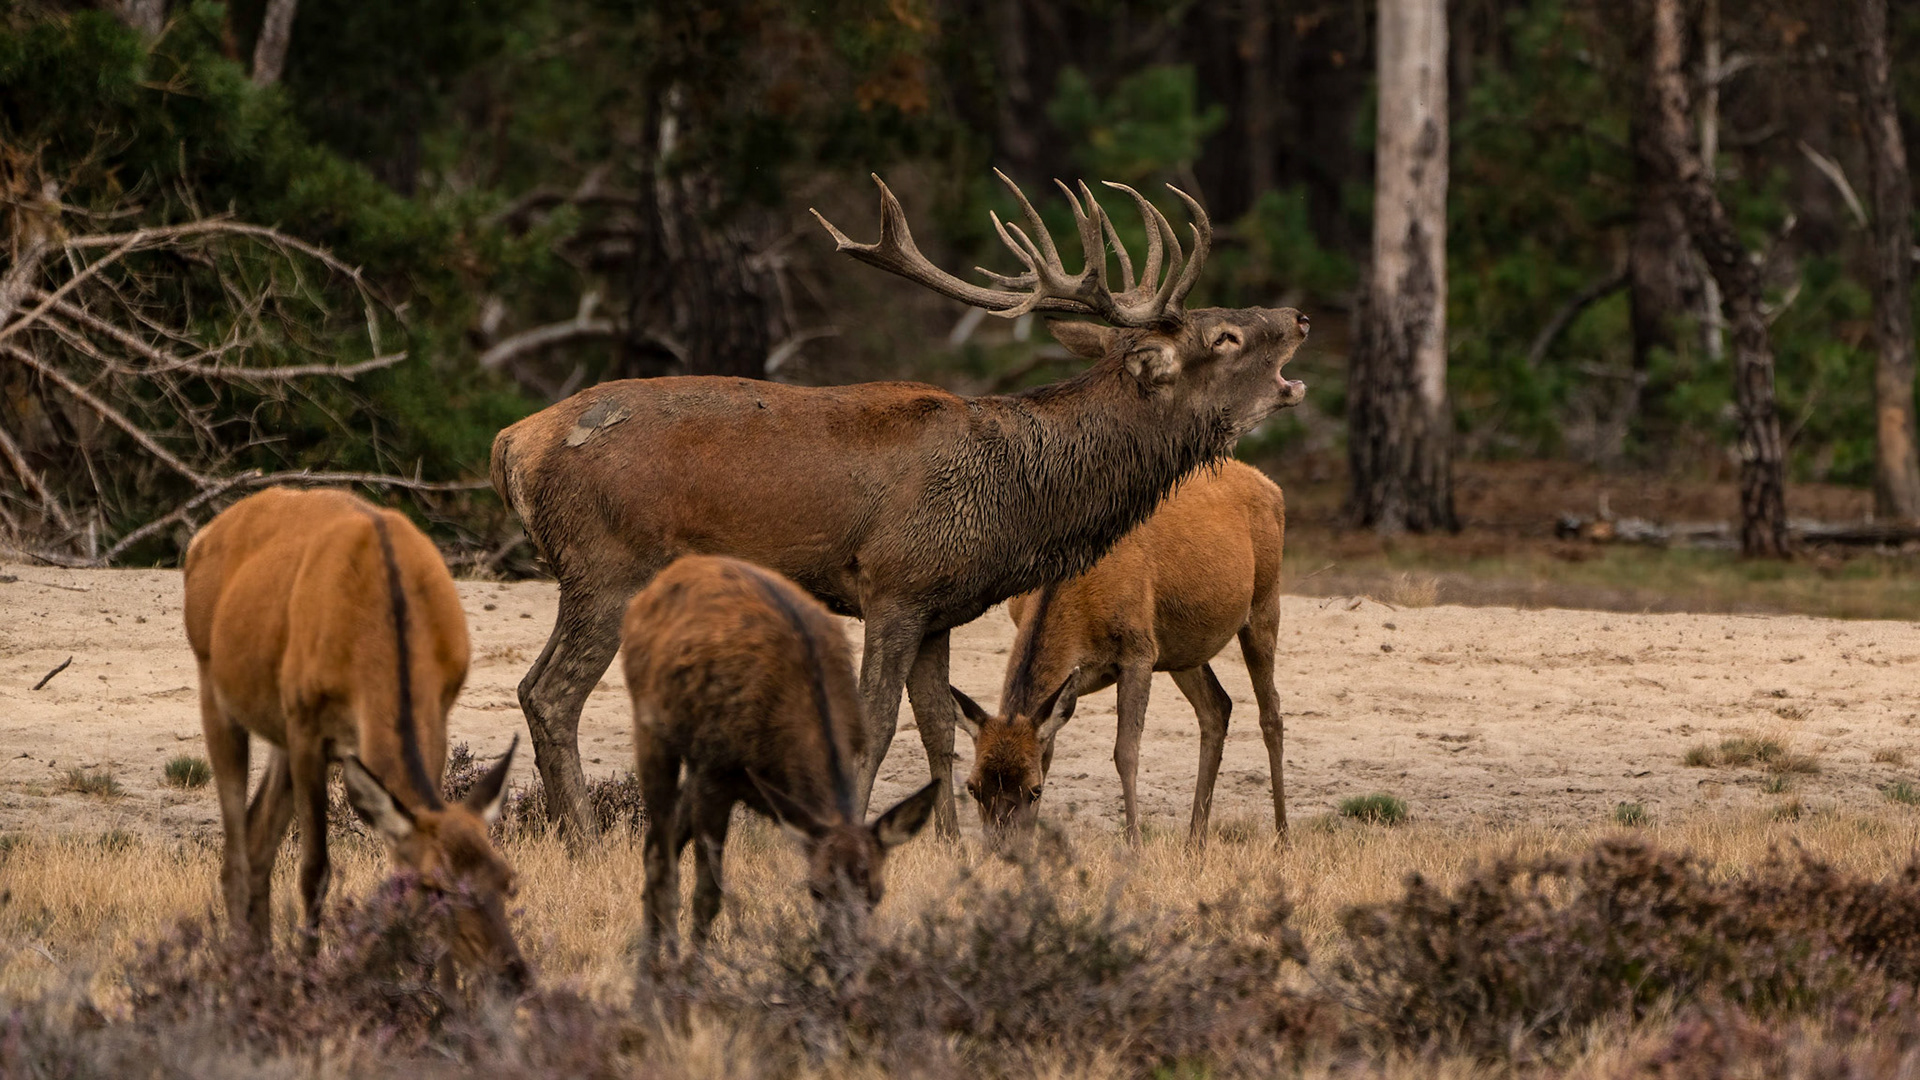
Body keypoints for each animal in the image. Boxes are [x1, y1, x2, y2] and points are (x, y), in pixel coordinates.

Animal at [182, 486, 529, 990]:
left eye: (506, 878)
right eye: (434, 887)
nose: (512, 973)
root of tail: (201, 538)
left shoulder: (439, 715)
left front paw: (446, 997)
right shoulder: (306, 724)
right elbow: (314, 870)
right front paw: (310, 982)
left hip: (277, 725)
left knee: (257, 836)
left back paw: (262, 968)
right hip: (215, 683)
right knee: (236, 852)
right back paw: (243, 972)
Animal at [622, 554, 940, 960]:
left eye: (876, 893)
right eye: (816, 889)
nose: (846, 954)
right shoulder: (716, 774)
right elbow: (708, 895)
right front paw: (695, 972)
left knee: (656, 848)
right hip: (652, 727)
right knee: (661, 854)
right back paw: (657, 966)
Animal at [949, 459, 1287, 847]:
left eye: (1034, 791)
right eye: (973, 787)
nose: (999, 847)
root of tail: (1270, 485)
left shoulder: (1138, 649)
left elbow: (1125, 752)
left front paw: (1135, 844)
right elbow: (1048, 750)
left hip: (1264, 602)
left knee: (1271, 715)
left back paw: (1282, 837)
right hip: (1180, 647)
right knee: (1217, 707)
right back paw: (1194, 844)